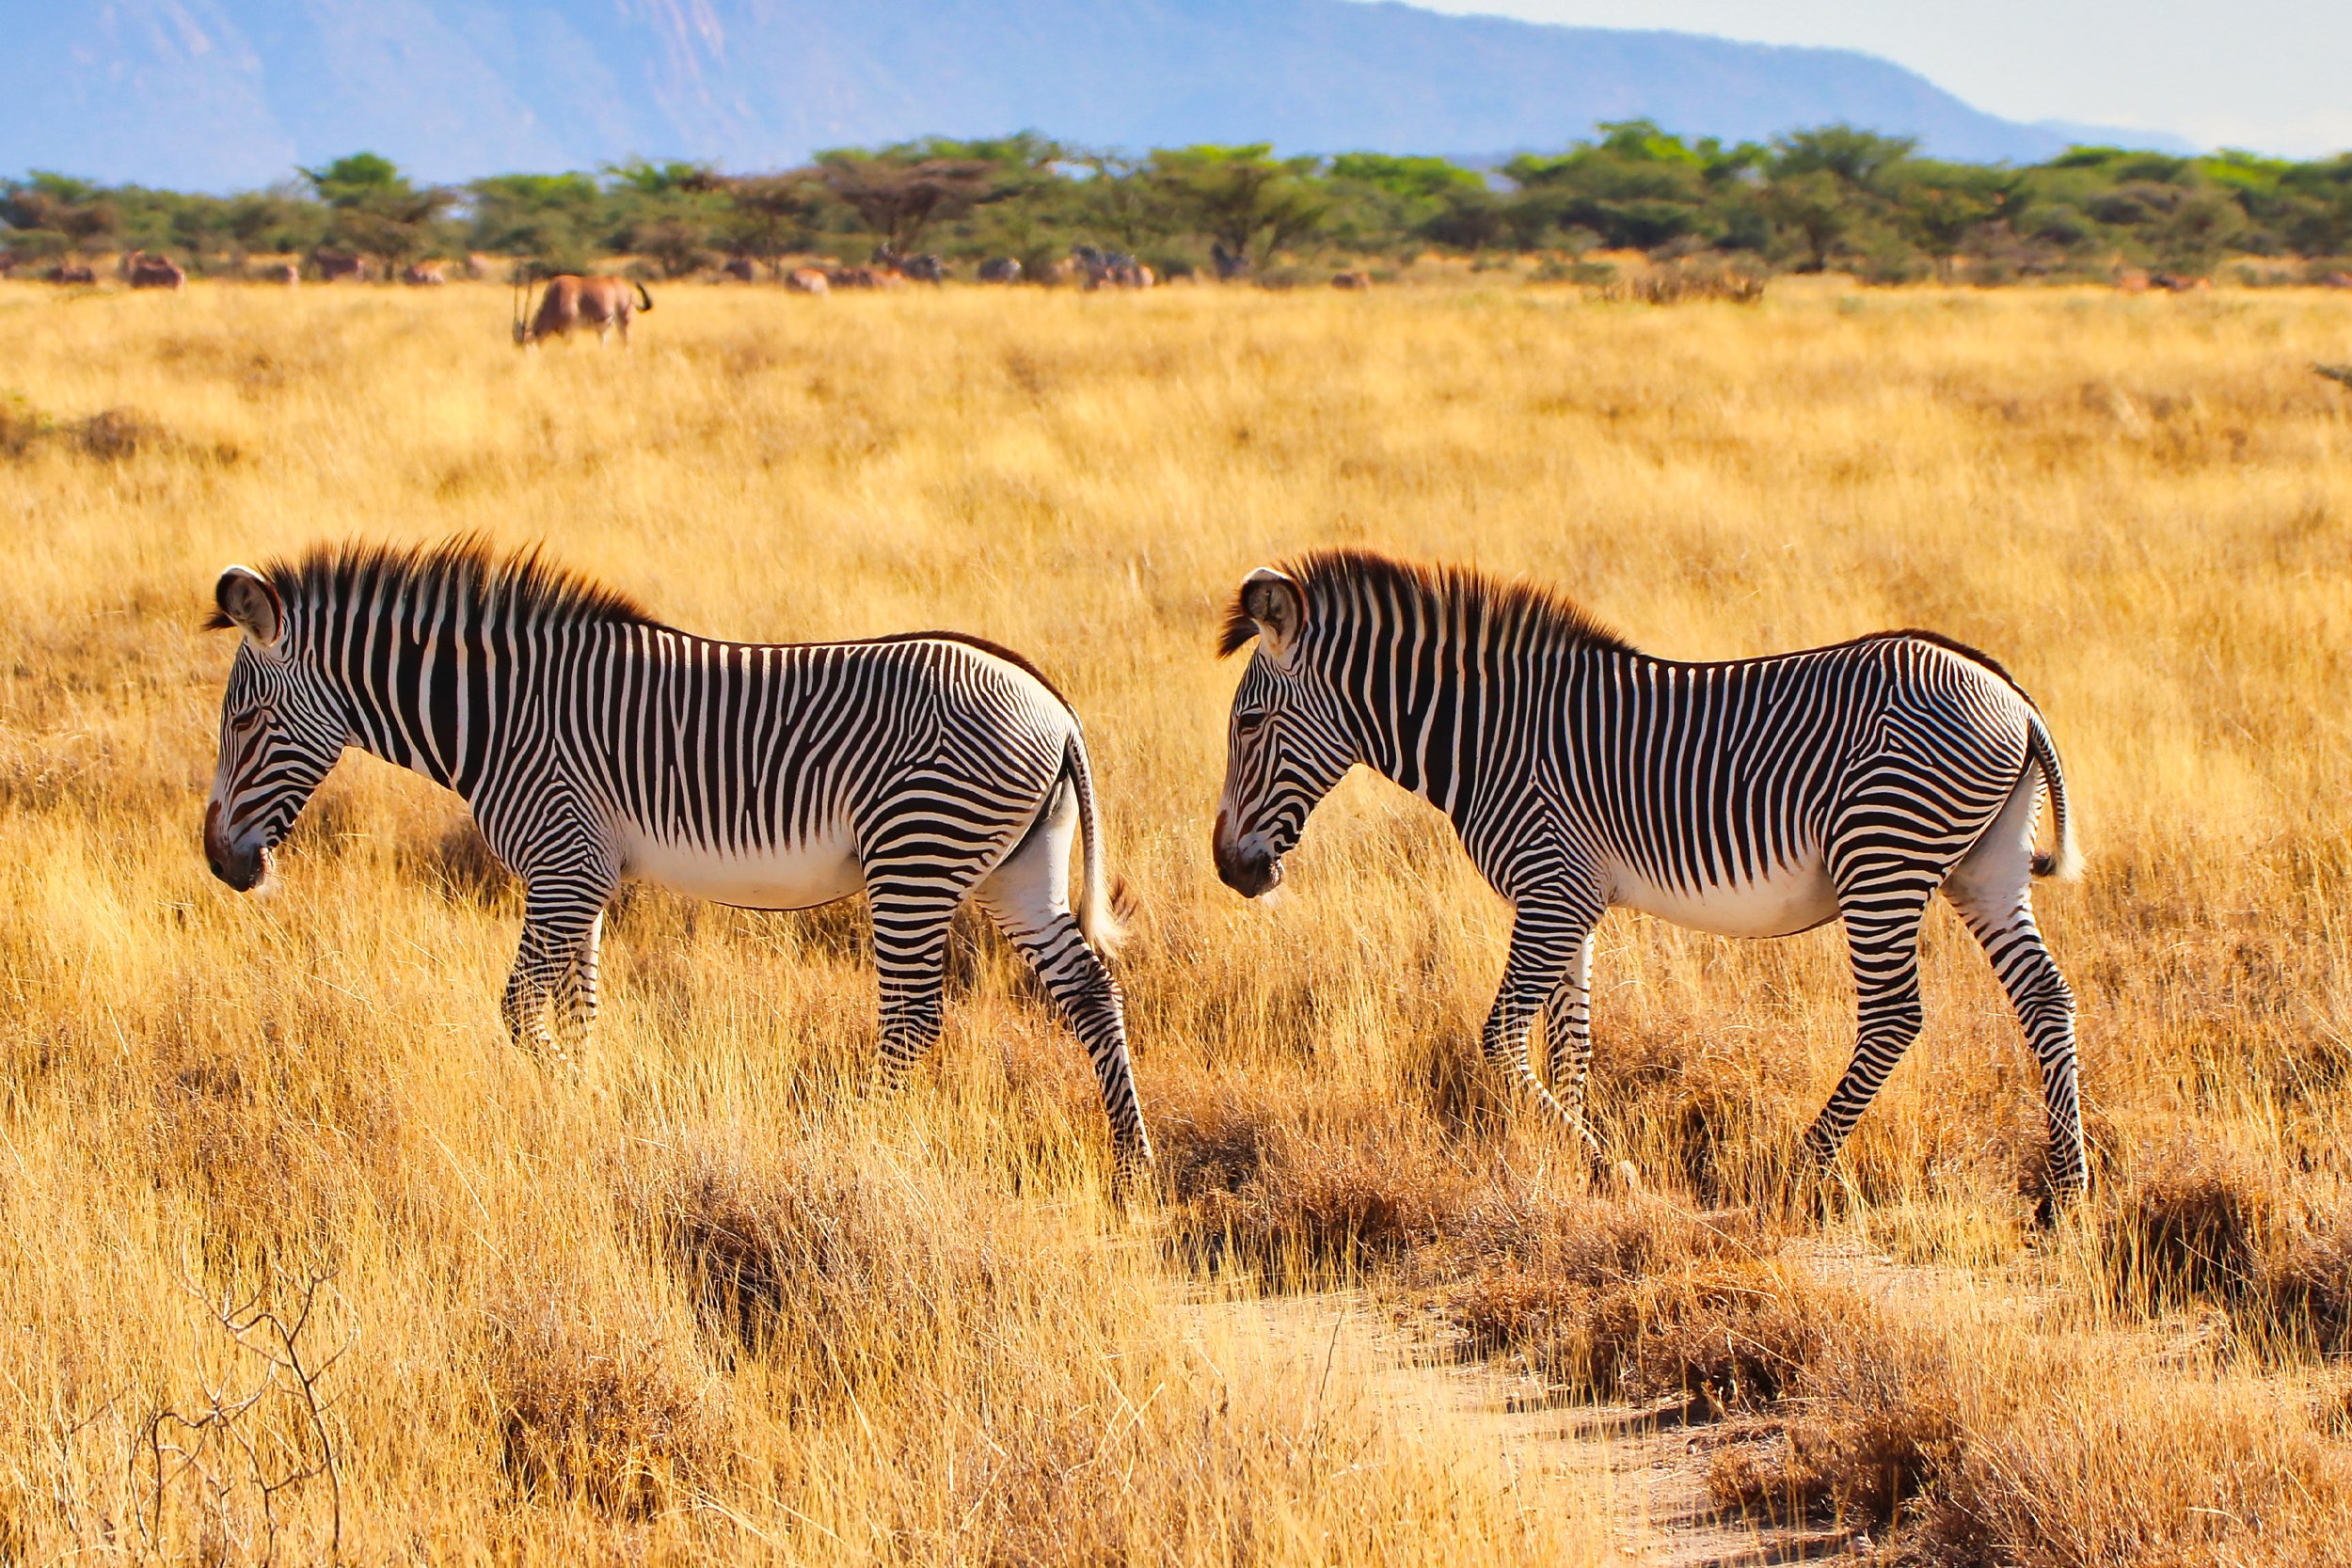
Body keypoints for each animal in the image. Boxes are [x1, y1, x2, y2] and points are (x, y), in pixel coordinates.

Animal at [202, 539, 1152, 1179]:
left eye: (244, 720)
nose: (220, 865)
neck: (498, 717)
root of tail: (1055, 707)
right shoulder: (582, 876)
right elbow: (579, 1008)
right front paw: (586, 1110)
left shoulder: (560, 863)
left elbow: (520, 1010)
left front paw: (583, 1108)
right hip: (1017, 870)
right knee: (1089, 989)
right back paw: (1130, 1162)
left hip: (915, 857)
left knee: (914, 1018)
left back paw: (851, 1141)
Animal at [1211, 550, 2086, 1207]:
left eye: (1247, 723)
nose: (1229, 868)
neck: (1491, 737)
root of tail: (2014, 699)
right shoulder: (1570, 901)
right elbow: (1570, 1042)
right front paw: (1573, 1166)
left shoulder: (1551, 889)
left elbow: (1501, 1039)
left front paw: (1606, 1164)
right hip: (1985, 867)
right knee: (2045, 996)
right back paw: (2068, 1190)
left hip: (1884, 854)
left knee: (1895, 1015)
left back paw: (1803, 1166)